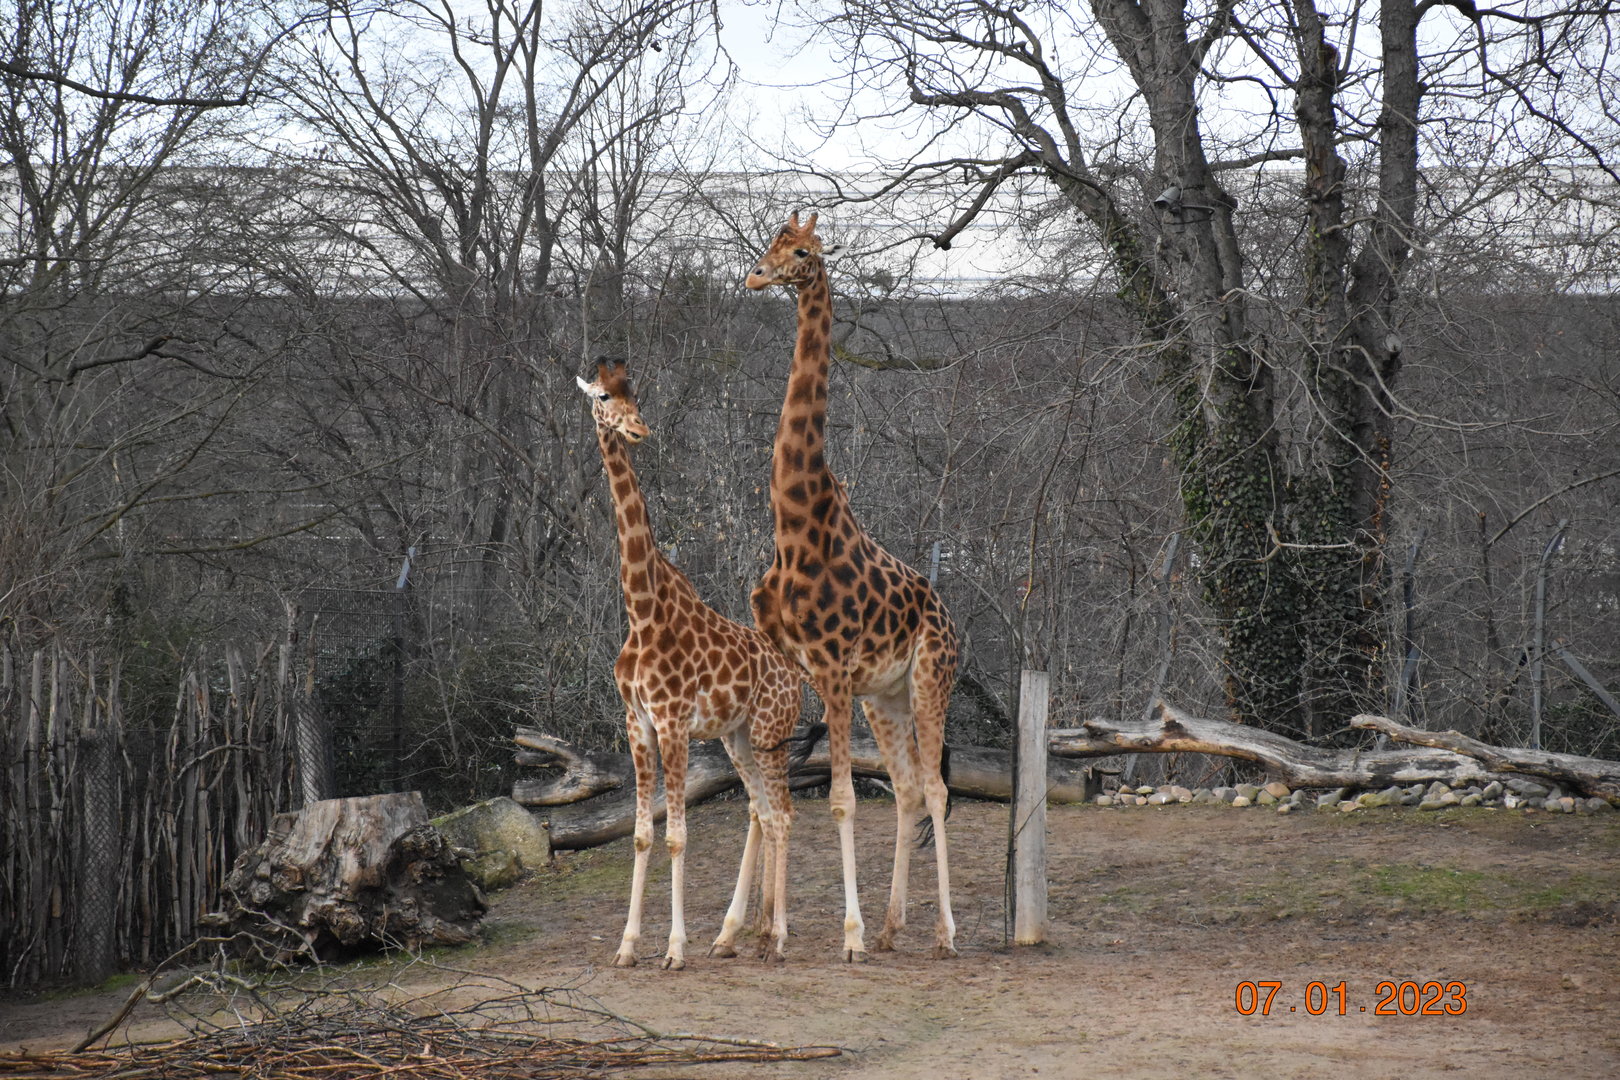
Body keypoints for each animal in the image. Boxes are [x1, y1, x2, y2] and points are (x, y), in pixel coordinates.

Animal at [577, 359, 800, 969]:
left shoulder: (673, 721)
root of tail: (796, 674)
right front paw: (628, 947)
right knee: (762, 812)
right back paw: (739, 935)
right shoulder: (637, 723)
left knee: (783, 815)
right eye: (603, 396)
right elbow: (641, 835)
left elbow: (677, 835)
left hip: (772, 733)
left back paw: (778, 937)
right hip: (737, 737)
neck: (642, 610)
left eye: (636, 396)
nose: (637, 429)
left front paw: (675, 949)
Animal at [744, 213, 960, 961]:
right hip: (884, 697)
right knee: (907, 790)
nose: (755, 276)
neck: (794, 523)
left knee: (936, 789)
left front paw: (848, 934)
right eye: (771, 243)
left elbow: (838, 798)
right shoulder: (804, 668)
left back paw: (943, 933)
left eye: (802, 251)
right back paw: (897, 926)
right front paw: (769, 930)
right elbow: (785, 797)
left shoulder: (833, 667)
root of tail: (951, 618)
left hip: (928, 679)